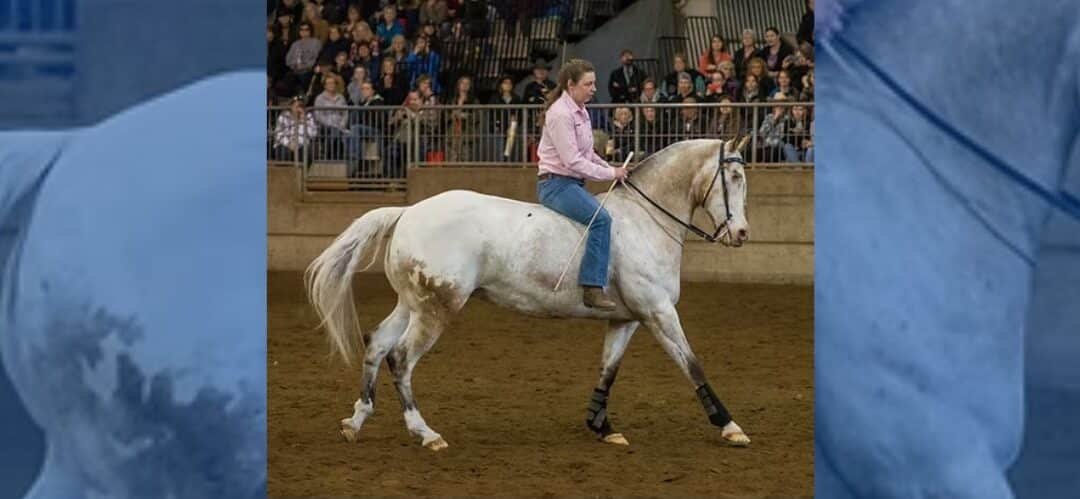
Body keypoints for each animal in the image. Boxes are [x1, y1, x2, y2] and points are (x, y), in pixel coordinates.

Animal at [306, 137, 755, 451]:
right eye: (733, 178)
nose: (741, 233)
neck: (645, 220)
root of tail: (409, 211)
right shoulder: (659, 312)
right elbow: (692, 365)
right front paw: (730, 426)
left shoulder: (626, 318)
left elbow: (608, 370)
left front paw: (602, 426)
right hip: (436, 309)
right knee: (400, 358)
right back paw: (426, 433)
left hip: (411, 304)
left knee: (377, 344)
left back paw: (355, 421)